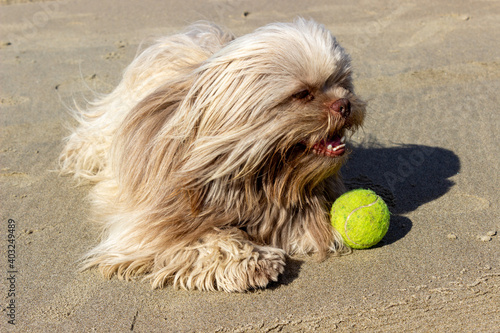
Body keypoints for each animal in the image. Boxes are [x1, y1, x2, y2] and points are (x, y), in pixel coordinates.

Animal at [60, 19, 366, 292]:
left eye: (342, 83)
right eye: (302, 94)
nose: (345, 104)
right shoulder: (153, 225)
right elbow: (199, 239)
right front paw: (252, 261)